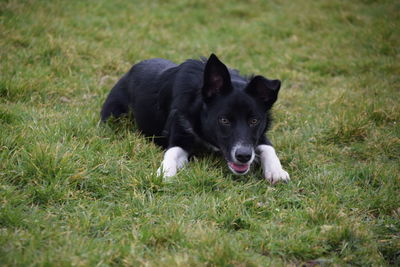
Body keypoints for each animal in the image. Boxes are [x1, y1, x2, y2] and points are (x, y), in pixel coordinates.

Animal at [99, 54, 288, 184]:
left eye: (254, 121)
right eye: (224, 120)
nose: (243, 156)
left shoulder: (259, 136)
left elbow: (268, 148)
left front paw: (277, 171)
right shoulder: (179, 134)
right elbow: (171, 153)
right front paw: (165, 173)